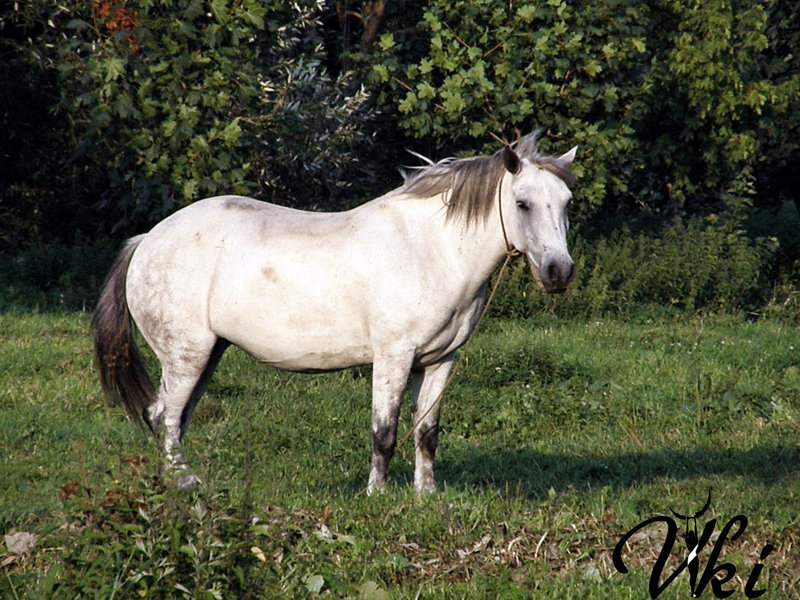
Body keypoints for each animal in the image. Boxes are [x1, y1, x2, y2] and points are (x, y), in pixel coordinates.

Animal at [94, 134, 576, 494]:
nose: (559, 272)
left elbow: (426, 433)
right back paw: (184, 485)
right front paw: (377, 496)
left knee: (173, 421)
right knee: (165, 417)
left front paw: (426, 496)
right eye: (523, 203)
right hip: (186, 357)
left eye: (567, 202)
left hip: (208, 356)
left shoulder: (440, 361)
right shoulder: (393, 358)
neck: (430, 249)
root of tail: (147, 239)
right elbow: (384, 432)